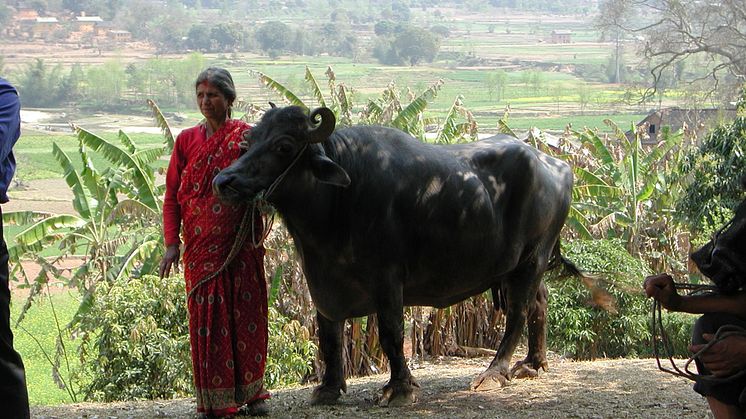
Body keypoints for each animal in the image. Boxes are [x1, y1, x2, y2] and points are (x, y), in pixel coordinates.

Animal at [215, 105, 576, 406]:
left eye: (285, 145)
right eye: (250, 141)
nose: (224, 181)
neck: (338, 203)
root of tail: (558, 166)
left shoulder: (387, 278)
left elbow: (391, 332)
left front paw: (400, 388)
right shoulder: (321, 281)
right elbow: (329, 335)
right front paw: (329, 388)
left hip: (533, 257)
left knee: (518, 311)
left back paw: (493, 374)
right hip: (522, 266)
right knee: (539, 301)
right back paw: (533, 364)